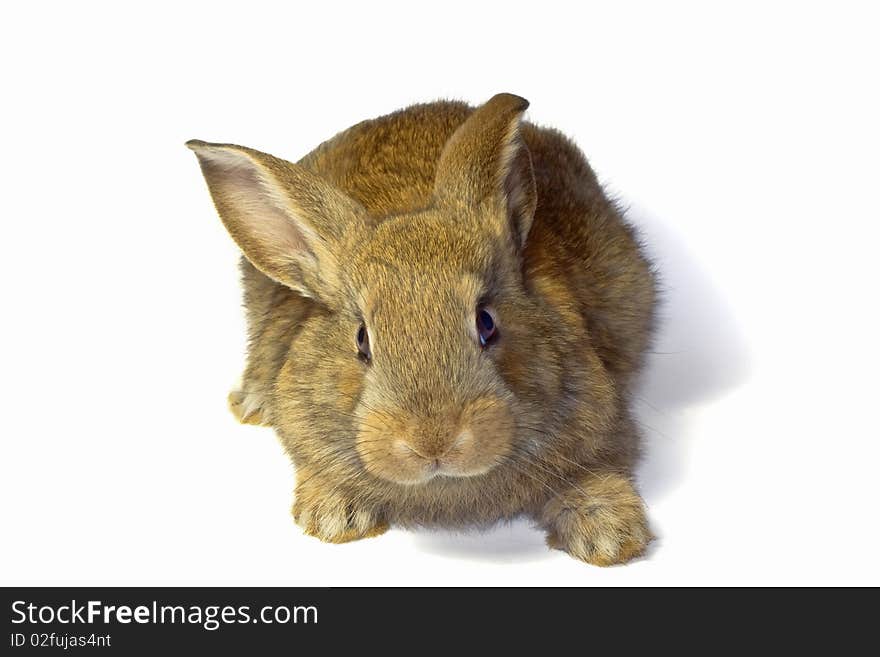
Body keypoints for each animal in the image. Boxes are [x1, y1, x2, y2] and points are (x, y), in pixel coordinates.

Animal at [191, 92, 660, 564]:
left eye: (486, 322)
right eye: (362, 339)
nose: (434, 442)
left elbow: (598, 470)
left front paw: (609, 536)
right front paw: (332, 518)